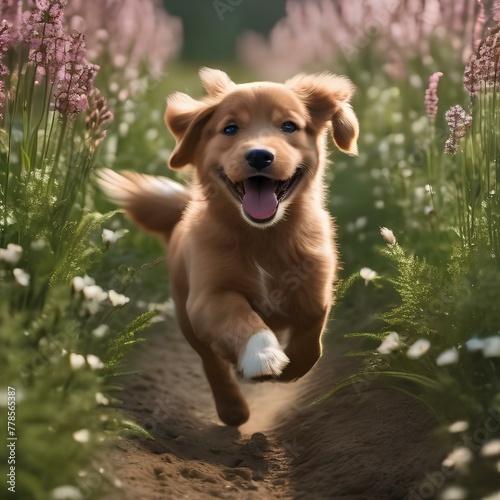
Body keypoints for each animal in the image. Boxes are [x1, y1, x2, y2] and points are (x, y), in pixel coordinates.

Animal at [97, 67, 358, 426]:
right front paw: (262, 355)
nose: (259, 155)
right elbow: (239, 314)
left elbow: (312, 342)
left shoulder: (315, 292)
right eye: (230, 129)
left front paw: (289, 368)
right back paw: (232, 406)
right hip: (187, 316)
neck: (264, 237)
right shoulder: (208, 296)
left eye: (288, 126)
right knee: (212, 362)